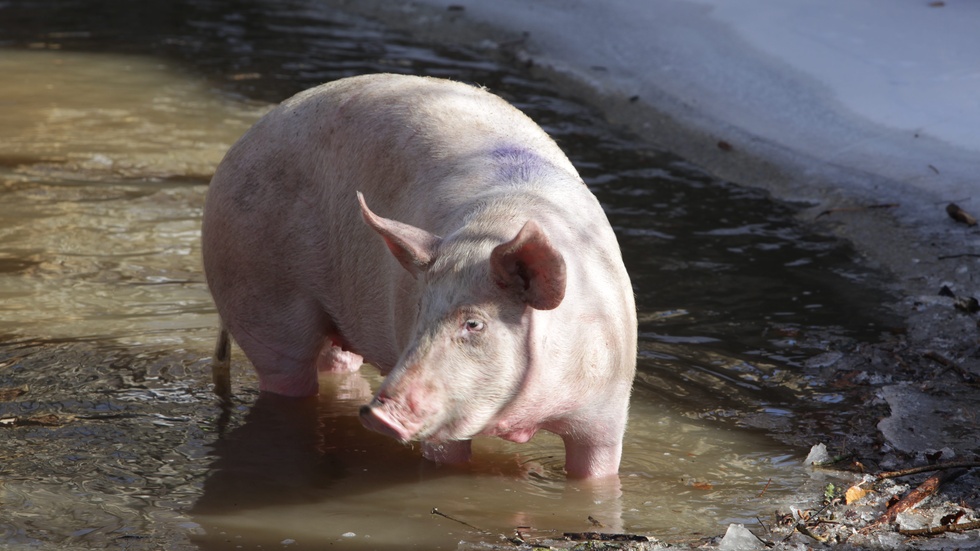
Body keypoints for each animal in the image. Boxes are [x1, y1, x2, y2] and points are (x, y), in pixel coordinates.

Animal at [203, 73, 640, 478]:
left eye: (474, 323)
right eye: (419, 310)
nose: (378, 413)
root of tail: (243, 141)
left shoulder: (606, 413)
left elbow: (597, 473)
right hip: (258, 293)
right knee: (285, 374)